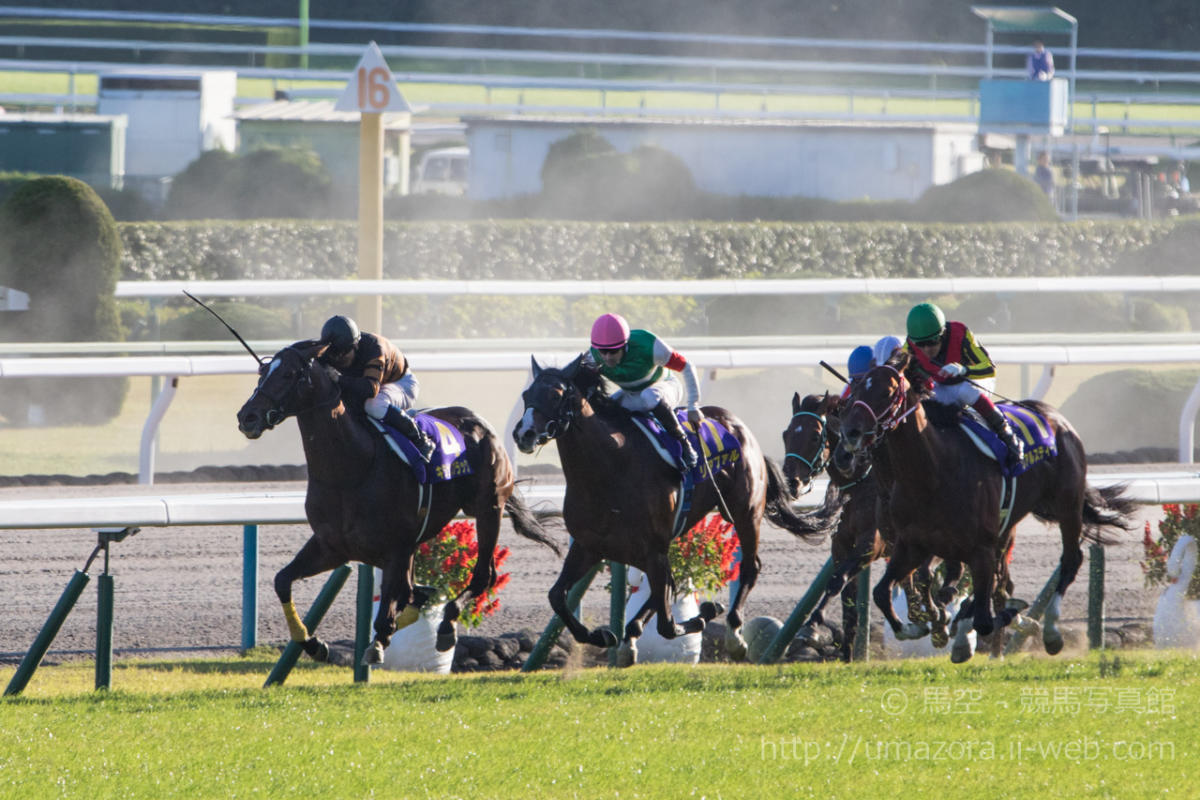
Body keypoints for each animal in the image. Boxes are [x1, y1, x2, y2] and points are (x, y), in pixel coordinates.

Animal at [236, 340, 559, 666]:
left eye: (289, 373)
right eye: (263, 371)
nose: (247, 417)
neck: (350, 470)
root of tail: (479, 421)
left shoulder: (397, 548)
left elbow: (393, 604)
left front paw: (378, 642)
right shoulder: (332, 546)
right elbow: (282, 580)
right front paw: (314, 644)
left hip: (487, 508)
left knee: (483, 575)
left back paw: (446, 626)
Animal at [835, 347, 1132, 662]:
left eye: (888, 392)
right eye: (855, 391)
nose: (850, 434)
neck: (932, 472)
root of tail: (1055, 417)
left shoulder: (980, 547)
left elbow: (985, 617)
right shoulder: (912, 544)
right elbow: (883, 592)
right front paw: (916, 627)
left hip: (1067, 505)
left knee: (1070, 559)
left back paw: (1050, 631)